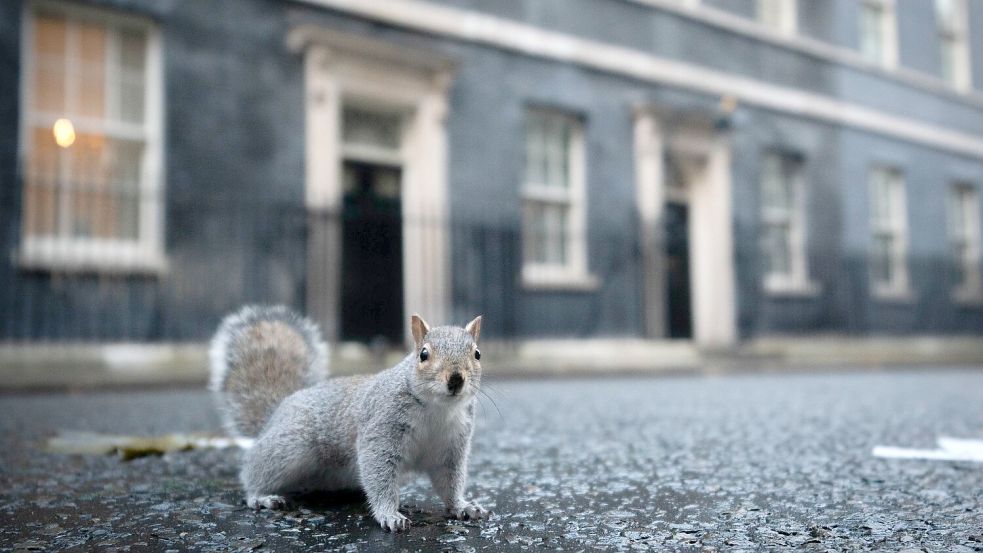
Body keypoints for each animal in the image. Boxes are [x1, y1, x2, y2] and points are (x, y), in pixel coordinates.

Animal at [209, 306, 486, 532]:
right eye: (424, 355)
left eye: (477, 354)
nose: (455, 379)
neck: (438, 410)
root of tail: (277, 411)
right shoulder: (381, 428)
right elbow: (379, 473)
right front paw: (390, 515)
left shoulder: (451, 446)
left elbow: (449, 481)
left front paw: (463, 506)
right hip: (290, 447)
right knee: (255, 471)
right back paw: (261, 496)